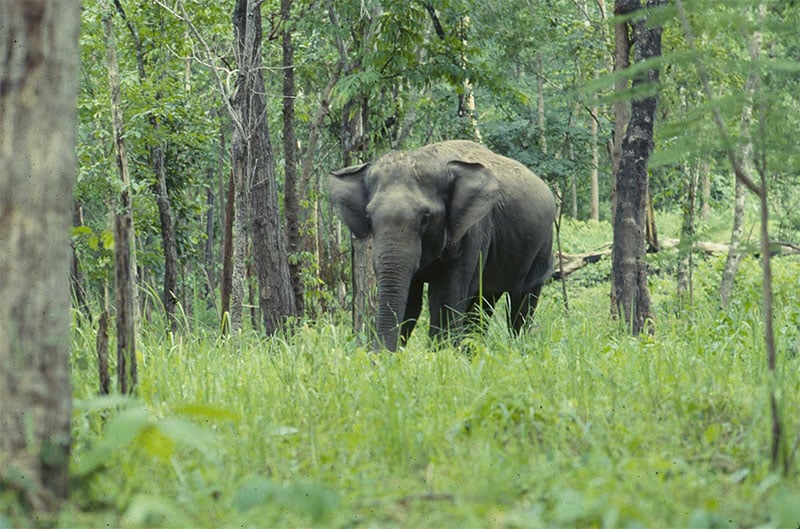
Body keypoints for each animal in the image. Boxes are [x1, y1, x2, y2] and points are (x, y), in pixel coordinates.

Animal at [328, 139, 552, 350]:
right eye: (369, 216)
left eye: (426, 217)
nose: (375, 355)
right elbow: (411, 302)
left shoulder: (474, 231)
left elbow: (445, 299)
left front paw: (442, 354)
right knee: (484, 304)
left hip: (542, 248)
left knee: (521, 304)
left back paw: (518, 347)